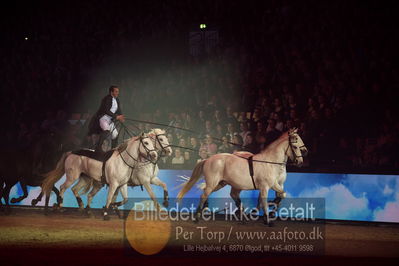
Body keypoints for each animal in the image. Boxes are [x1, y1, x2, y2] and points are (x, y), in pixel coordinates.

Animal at [179, 128, 310, 224]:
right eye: (295, 145)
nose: (300, 161)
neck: (270, 162)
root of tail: (208, 159)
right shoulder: (266, 186)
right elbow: (266, 200)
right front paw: (268, 218)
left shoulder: (276, 184)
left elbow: (279, 196)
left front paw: (268, 212)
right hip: (213, 183)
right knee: (204, 194)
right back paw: (197, 217)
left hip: (221, 183)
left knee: (212, 193)